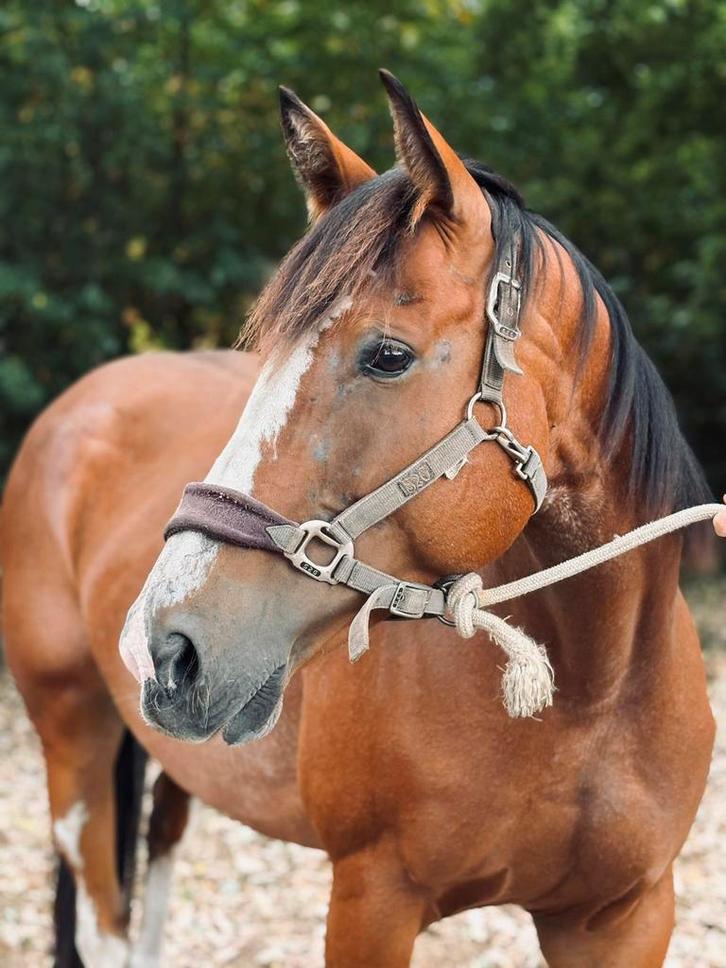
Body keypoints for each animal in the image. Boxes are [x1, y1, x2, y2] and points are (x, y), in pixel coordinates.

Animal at [2, 73, 715, 967]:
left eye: (388, 356)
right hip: (74, 738)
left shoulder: (625, 917)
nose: (162, 643)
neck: (592, 693)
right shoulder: (372, 900)